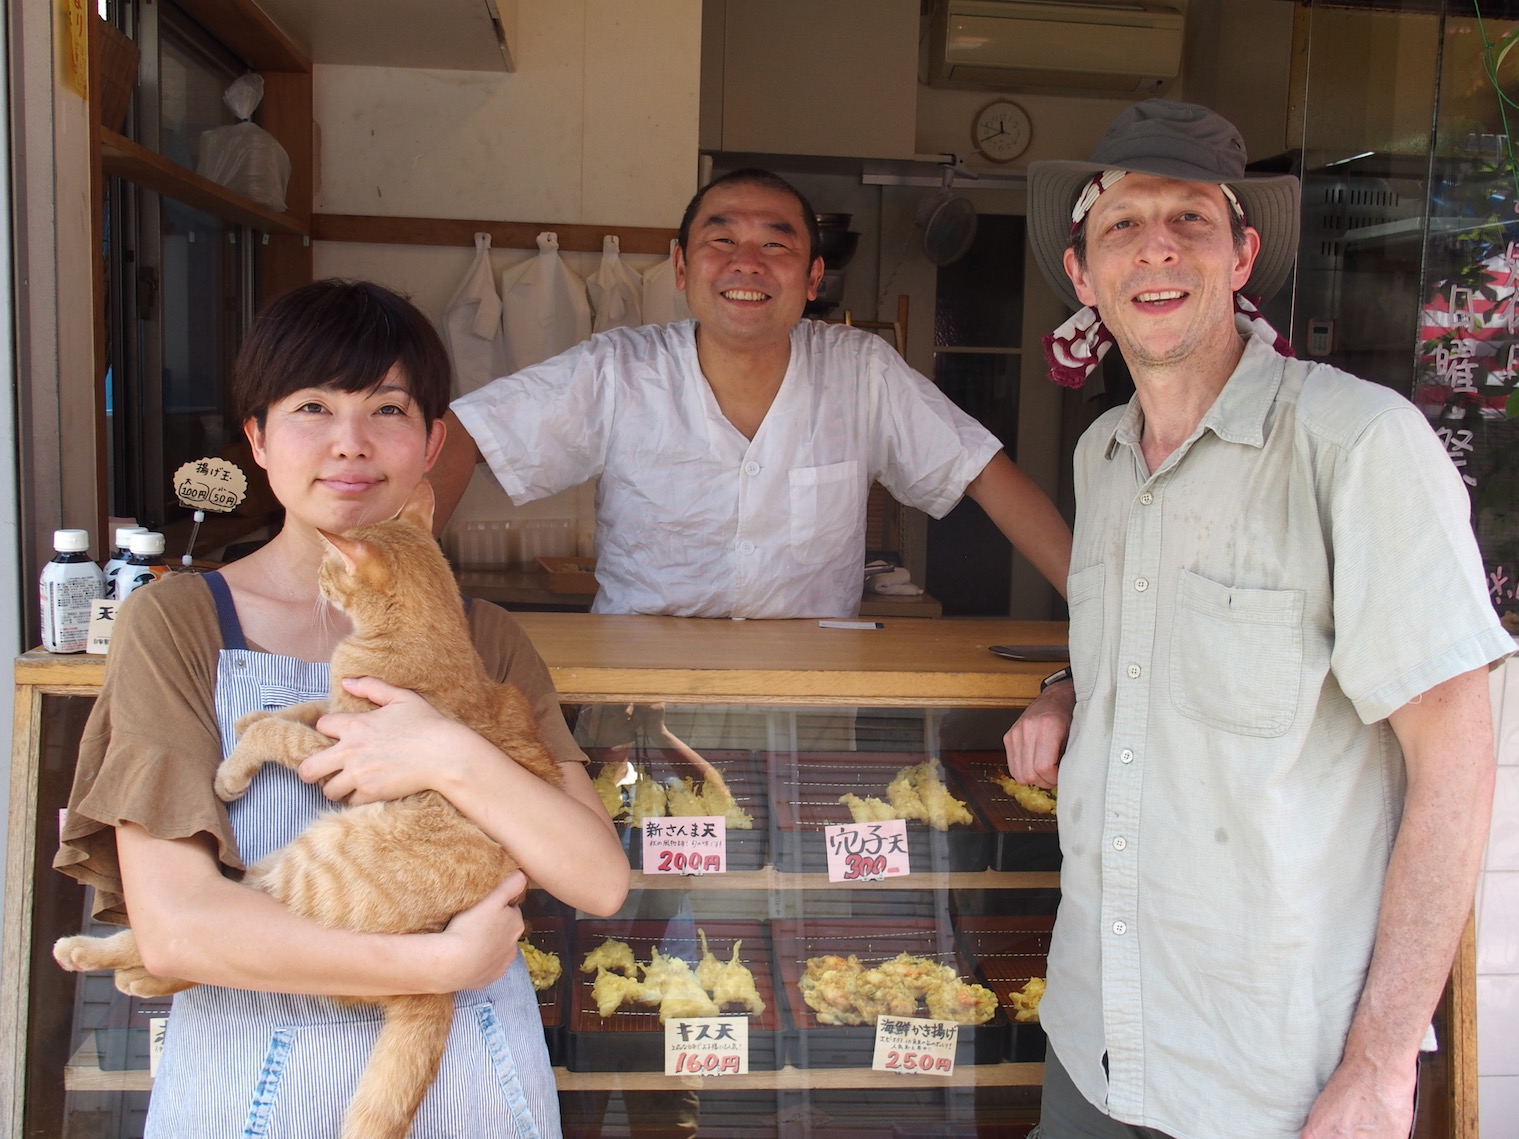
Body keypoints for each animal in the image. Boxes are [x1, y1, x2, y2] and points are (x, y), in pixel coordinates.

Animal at [53, 482, 568, 1139]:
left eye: (330, 568)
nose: (319, 581)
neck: (430, 634)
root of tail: (436, 982)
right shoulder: (335, 718)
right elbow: (302, 709)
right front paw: (253, 717)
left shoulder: (343, 756)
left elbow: (284, 733)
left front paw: (235, 765)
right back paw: (136, 973)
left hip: (308, 868)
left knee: (210, 937)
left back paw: (92, 955)